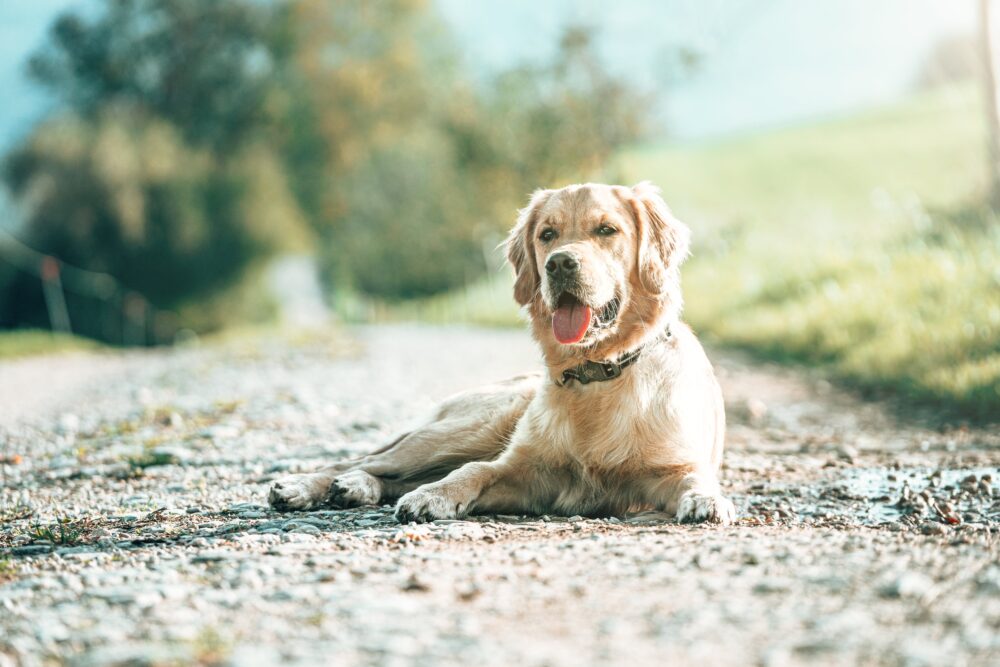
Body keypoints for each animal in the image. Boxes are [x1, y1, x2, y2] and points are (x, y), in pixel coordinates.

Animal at [268, 184, 736, 528]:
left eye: (607, 230)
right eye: (547, 234)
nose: (559, 264)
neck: (597, 373)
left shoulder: (666, 469)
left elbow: (696, 477)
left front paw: (707, 499)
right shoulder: (526, 470)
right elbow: (475, 471)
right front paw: (434, 497)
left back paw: (355, 488)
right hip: (468, 429)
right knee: (366, 459)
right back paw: (308, 486)